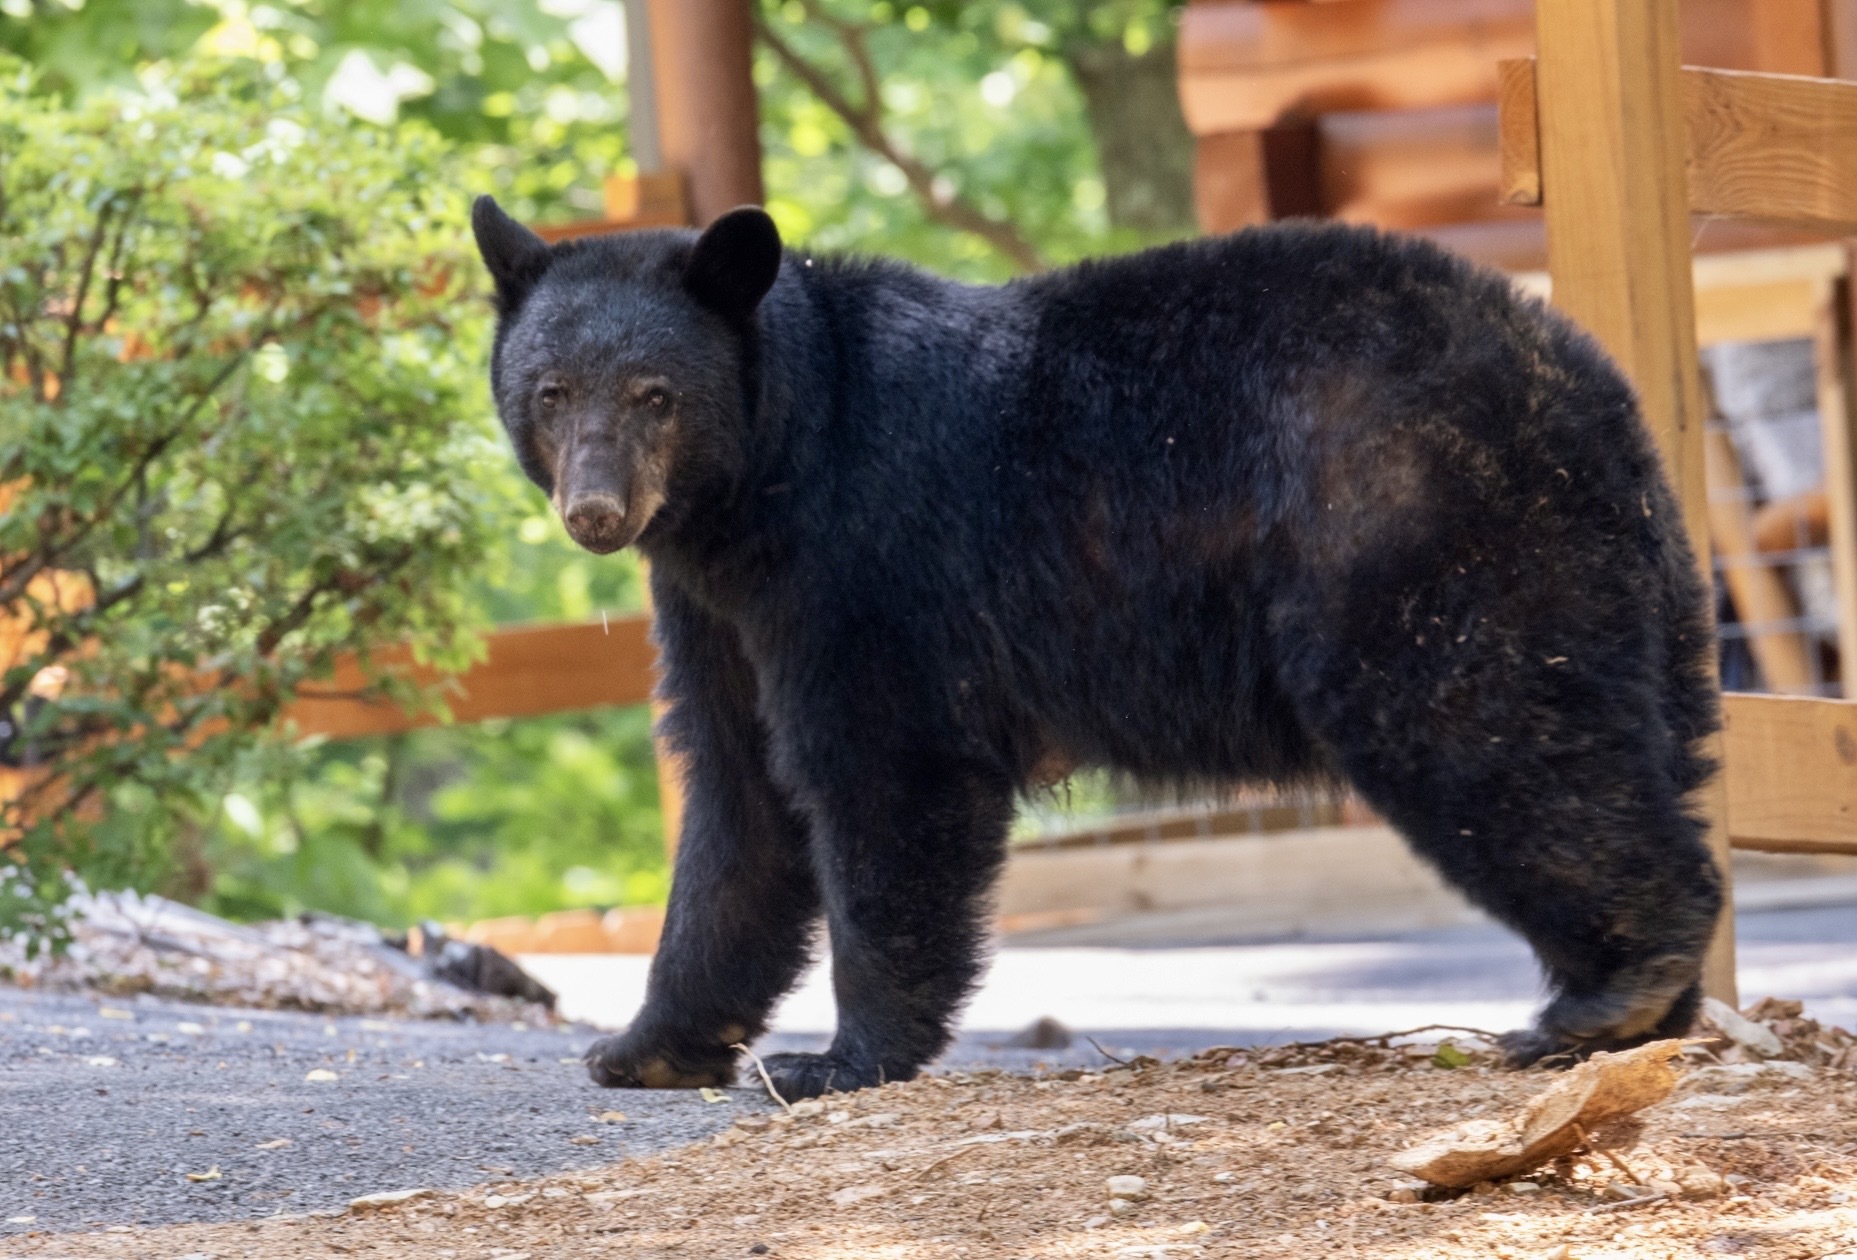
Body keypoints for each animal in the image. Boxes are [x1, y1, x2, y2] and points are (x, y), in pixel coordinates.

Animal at [470, 196, 1723, 1099]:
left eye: (656, 394)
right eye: (551, 389)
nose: (597, 511)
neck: (770, 472)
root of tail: (1588, 382)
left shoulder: (867, 560)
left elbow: (884, 776)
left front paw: (835, 1058)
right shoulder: (719, 605)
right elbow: (739, 802)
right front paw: (646, 1043)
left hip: (1416, 529)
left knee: (1486, 729)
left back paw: (1612, 989)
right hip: (1620, 588)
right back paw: (1644, 1009)